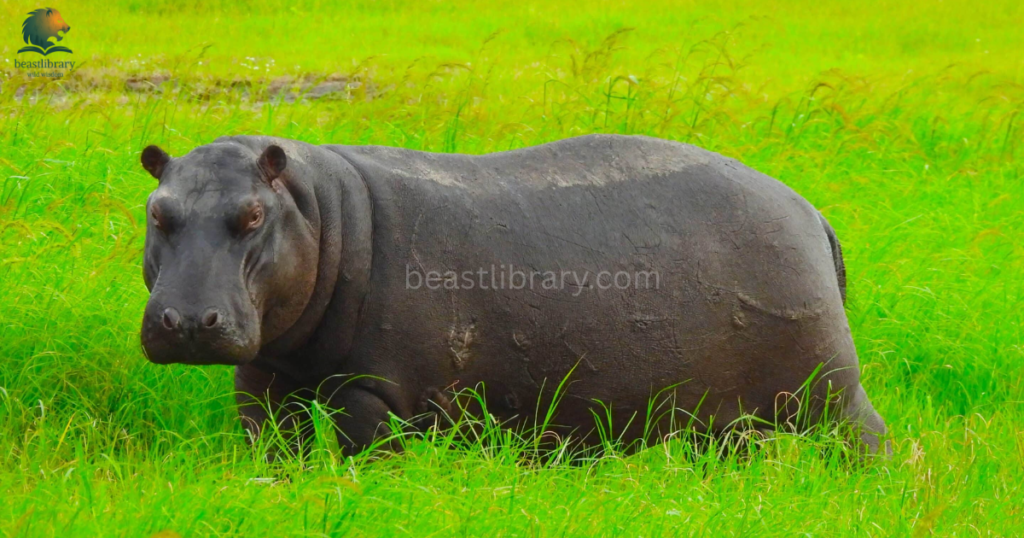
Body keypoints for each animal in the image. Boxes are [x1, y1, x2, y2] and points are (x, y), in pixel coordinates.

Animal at [139, 134, 887, 456]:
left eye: (252, 216)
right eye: (156, 211)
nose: (187, 319)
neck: (320, 211)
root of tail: (809, 210)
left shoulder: (373, 389)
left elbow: (367, 454)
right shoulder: (267, 374)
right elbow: (271, 444)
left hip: (827, 388)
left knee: (868, 437)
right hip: (727, 413)